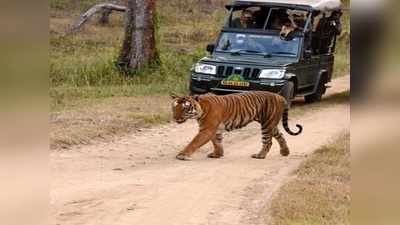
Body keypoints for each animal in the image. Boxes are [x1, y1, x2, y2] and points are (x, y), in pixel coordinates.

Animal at [170, 90, 302, 161]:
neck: (200, 108)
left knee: (268, 141)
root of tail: (280, 96)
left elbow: (194, 142)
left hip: (267, 124)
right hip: (271, 124)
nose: (175, 118)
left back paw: (260, 155)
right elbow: (217, 142)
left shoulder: (207, 129)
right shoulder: (215, 130)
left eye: (185, 108)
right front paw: (217, 154)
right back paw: (285, 152)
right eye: (174, 107)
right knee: (280, 135)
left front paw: (182, 155)